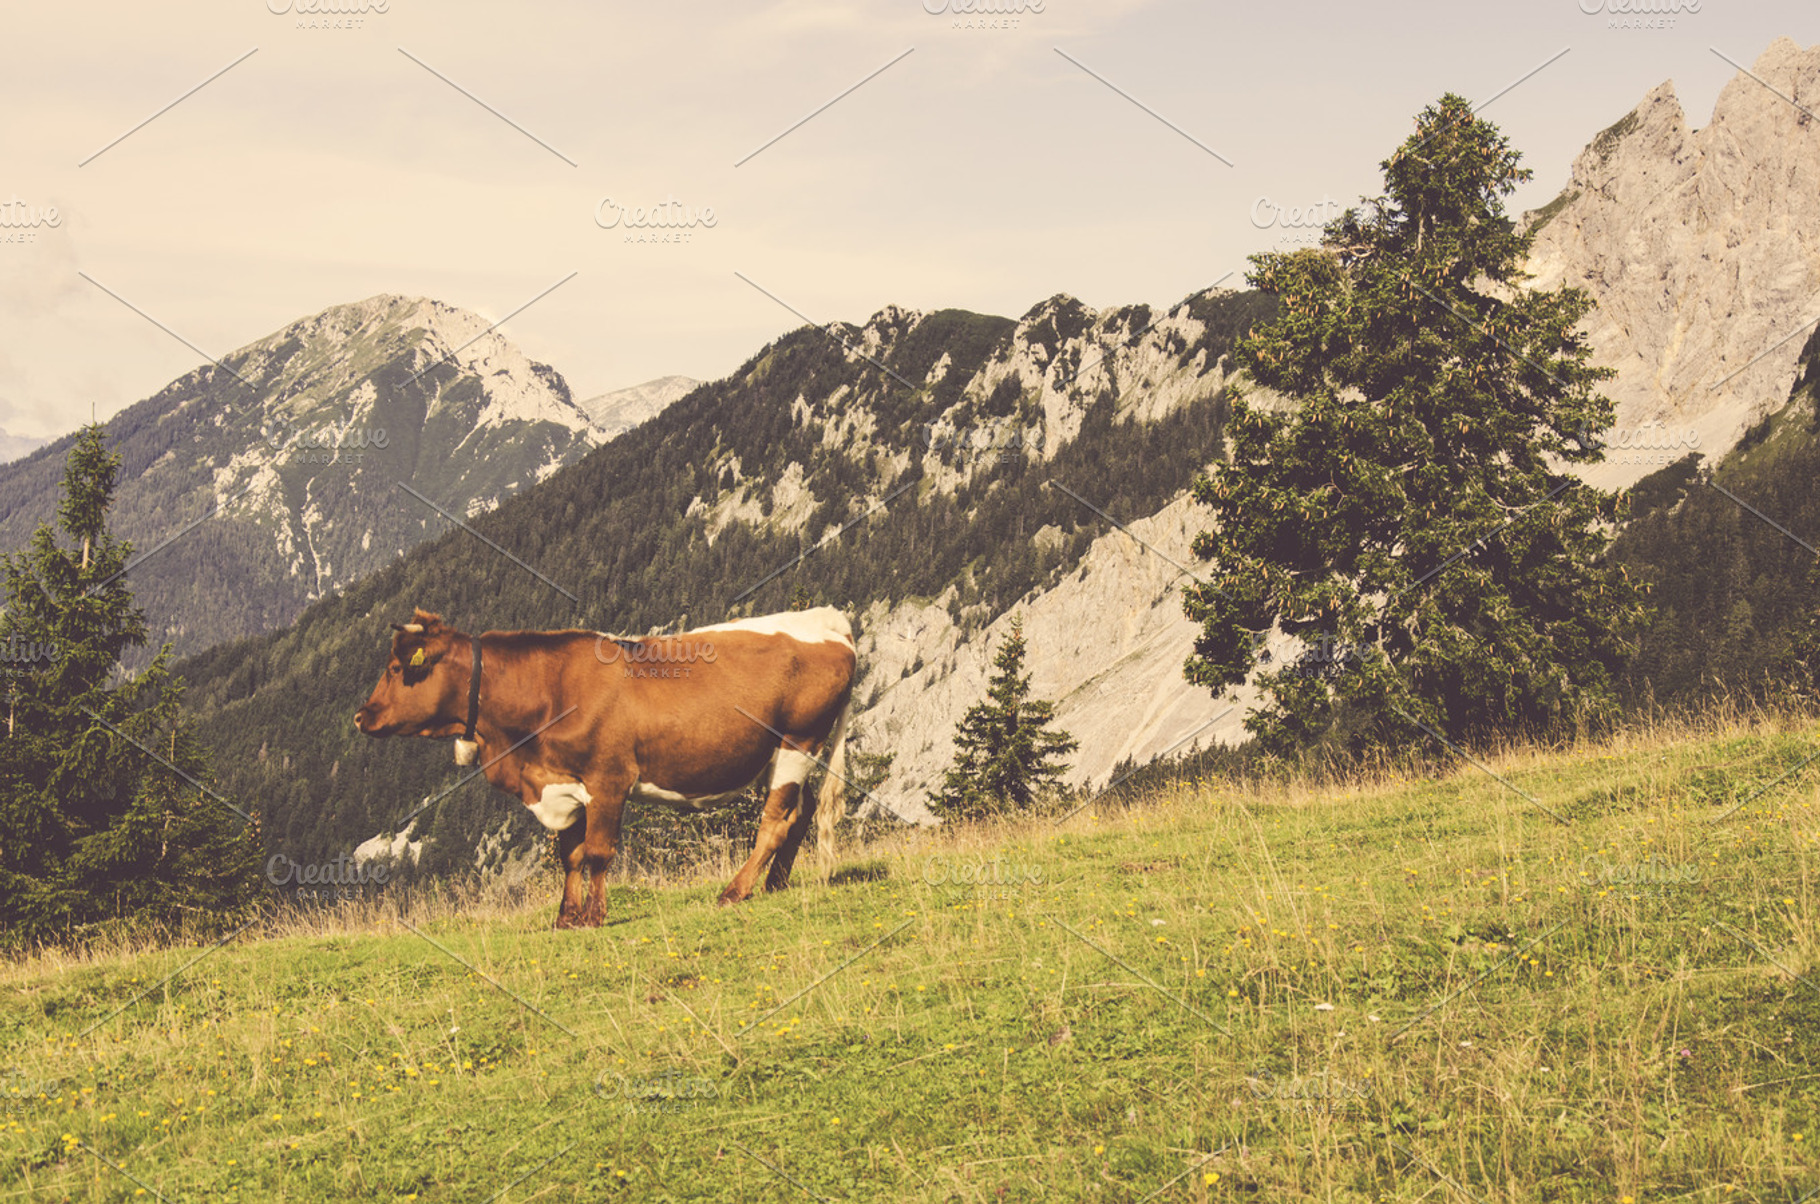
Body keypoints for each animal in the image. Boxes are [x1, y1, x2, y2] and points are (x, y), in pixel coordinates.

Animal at [353, 606, 857, 928]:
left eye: (397, 668)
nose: (361, 716)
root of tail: (827, 619)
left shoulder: (608, 780)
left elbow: (597, 852)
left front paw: (594, 916)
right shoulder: (563, 784)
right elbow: (570, 855)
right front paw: (566, 917)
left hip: (797, 743)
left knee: (775, 823)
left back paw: (735, 891)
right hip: (783, 755)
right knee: (800, 813)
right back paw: (774, 885)